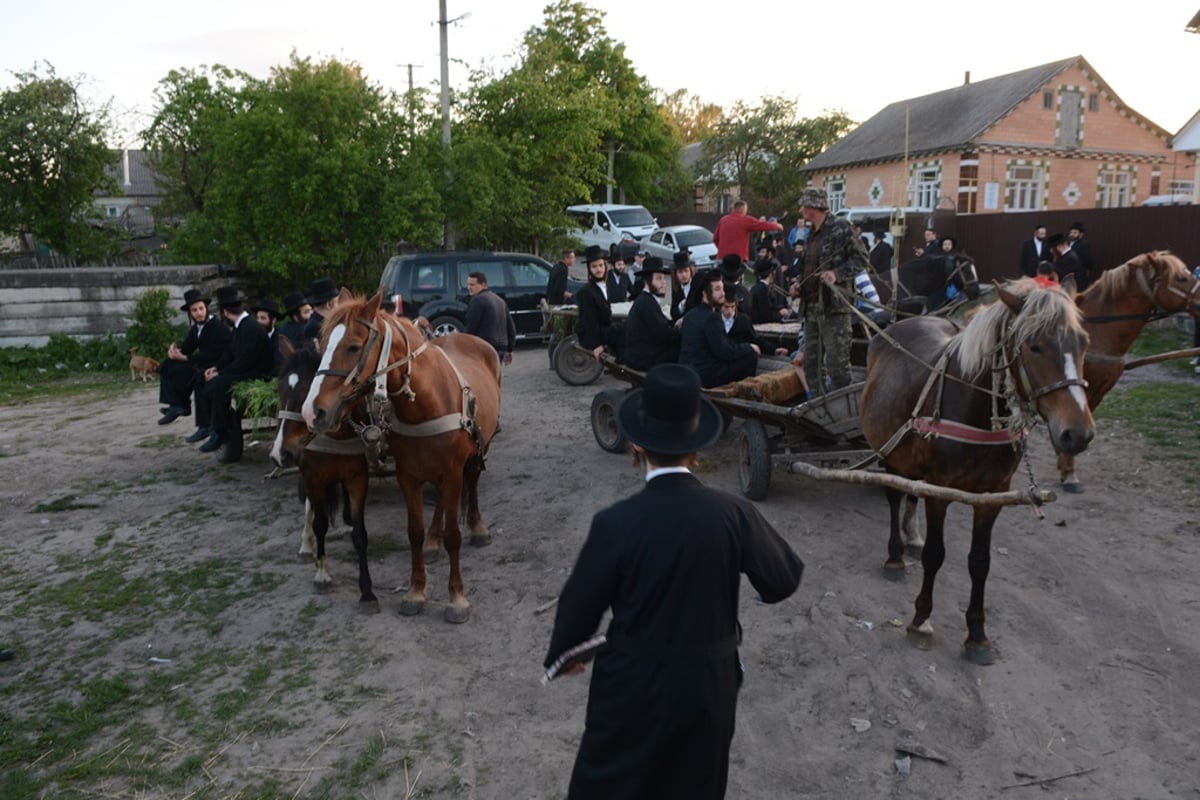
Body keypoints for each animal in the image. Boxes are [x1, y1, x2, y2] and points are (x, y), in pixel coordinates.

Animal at [272, 335, 379, 614]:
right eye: (279, 390)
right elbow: (319, 523)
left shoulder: (357, 477)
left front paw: (367, 592)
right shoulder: (312, 476)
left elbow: (360, 534)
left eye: (306, 392)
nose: (280, 454)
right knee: (310, 507)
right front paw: (321, 574)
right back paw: (305, 545)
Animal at [304, 291, 506, 623]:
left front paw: (456, 598)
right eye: (321, 345)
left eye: (353, 346)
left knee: (473, 481)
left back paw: (477, 528)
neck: (427, 401)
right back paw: (434, 542)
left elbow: (454, 535)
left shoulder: (452, 472)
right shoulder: (408, 476)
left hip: (480, 450)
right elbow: (414, 532)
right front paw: (416, 591)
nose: (313, 412)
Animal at [864, 278, 1099, 666]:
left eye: (1083, 343)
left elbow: (980, 562)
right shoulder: (940, 491)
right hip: (887, 449)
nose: (1077, 434)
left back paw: (911, 537)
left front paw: (977, 635)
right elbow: (935, 554)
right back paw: (896, 556)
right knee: (895, 493)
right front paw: (921, 619)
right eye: (1034, 346)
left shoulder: (992, 496)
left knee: (910, 489)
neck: (974, 408)